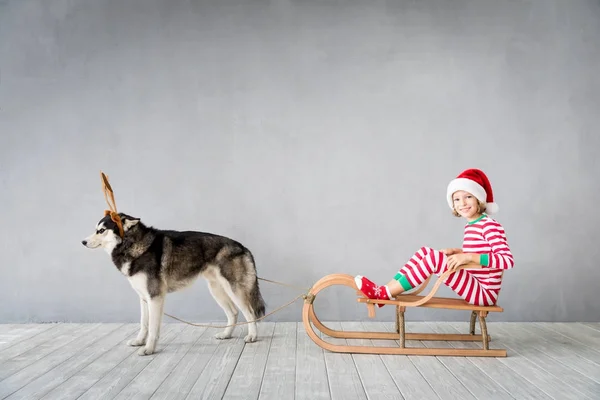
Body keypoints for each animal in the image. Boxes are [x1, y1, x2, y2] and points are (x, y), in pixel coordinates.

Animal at [81, 212, 264, 356]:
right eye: (96, 229)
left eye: (101, 230)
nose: (83, 242)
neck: (132, 244)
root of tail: (242, 246)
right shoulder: (144, 298)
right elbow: (143, 324)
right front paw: (140, 341)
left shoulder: (155, 297)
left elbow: (153, 328)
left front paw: (148, 349)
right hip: (216, 290)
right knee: (233, 313)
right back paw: (226, 334)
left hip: (234, 290)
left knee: (250, 313)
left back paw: (253, 336)